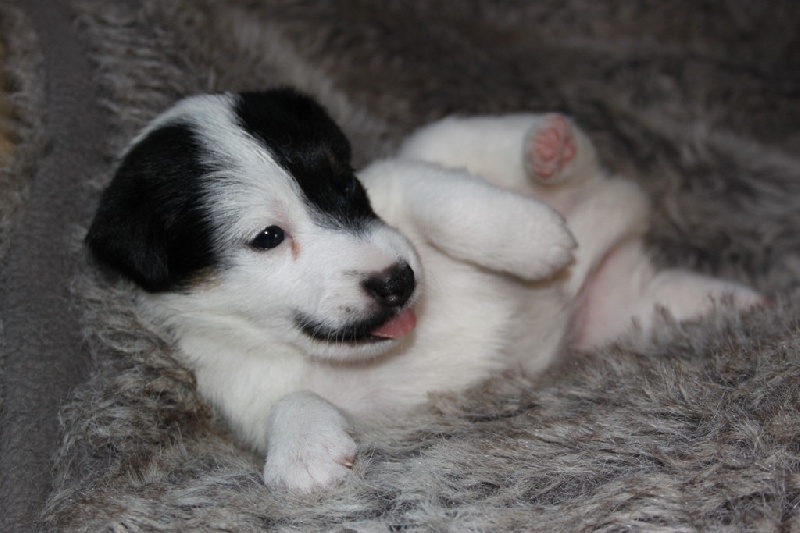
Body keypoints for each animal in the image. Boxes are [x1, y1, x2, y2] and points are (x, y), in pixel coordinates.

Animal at [87, 89, 764, 492]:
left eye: (346, 185)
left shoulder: (401, 184)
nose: (400, 281)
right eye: (267, 237)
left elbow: (446, 200)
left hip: (448, 142)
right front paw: (304, 454)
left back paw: (550, 153)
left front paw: (529, 238)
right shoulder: (247, 399)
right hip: (637, 308)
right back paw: (750, 302)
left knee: (525, 155)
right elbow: (291, 403)